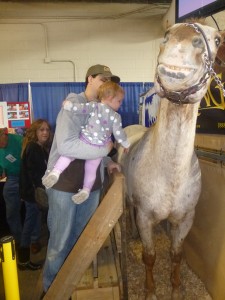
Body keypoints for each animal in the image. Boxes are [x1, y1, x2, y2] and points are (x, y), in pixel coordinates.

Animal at [118, 21, 225, 300]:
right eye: (167, 33)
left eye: (217, 39)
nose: (180, 42)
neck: (171, 176)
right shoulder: (146, 217)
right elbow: (149, 256)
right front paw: (151, 292)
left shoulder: (185, 219)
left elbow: (176, 255)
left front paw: (176, 289)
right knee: (129, 213)